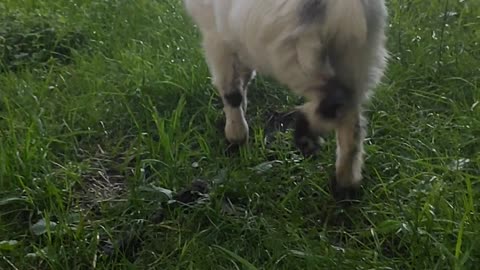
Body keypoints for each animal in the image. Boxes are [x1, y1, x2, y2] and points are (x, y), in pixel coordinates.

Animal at [182, 0, 388, 200]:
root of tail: (348, 8)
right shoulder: (238, 40)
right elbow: (245, 77)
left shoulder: (216, 36)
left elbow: (231, 91)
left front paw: (235, 136)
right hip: (357, 56)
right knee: (352, 120)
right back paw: (345, 183)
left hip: (295, 52)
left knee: (334, 101)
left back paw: (305, 135)